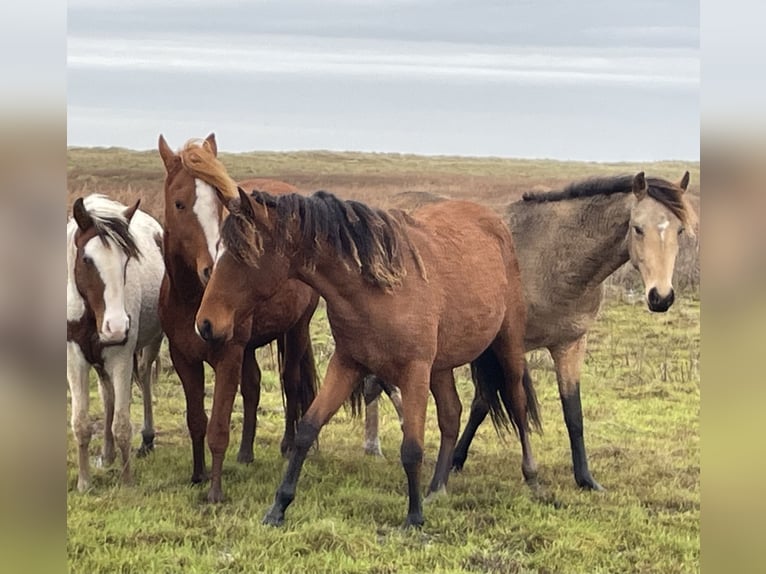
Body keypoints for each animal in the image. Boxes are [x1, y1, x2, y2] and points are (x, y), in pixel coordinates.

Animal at [66, 194, 164, 491]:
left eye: (126, 260)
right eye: (86, 259)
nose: (117, 326)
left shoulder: (121, 357)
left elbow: (122, 422)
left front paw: (127, 481)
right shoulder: (75, 358)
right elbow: (81, 422)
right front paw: (84, 482)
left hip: (151, 343)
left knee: (143, 375)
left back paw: (147, 439)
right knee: (107, 394)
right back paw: (107, 454)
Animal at [157, 134, 320, 503]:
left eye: (219, 203)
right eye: (179, 204)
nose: (210, 269)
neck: (192, 299)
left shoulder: (228, 356)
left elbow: (217, 427)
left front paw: (215, 492)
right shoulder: (184, 358)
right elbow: (196, 420)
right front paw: (198, 475)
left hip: (297, 330)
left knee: (291, 381)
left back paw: (288, 444)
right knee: (254, 386)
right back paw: (245, 452)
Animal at [191, 156, 541, 528]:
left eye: (242, 255)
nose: (206, 324)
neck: (375, 289)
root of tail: (494, 223)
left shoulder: (414, 373)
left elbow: (411, 447)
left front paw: (414, 517)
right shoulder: (347, 364)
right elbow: (307, 430)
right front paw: (278, 507)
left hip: (507, 346)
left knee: (517, 403)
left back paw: (532, 478)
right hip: (441, 366)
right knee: (451, 414)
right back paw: (437, 487)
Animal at [449, 171, 698, 490]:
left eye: (679, 231)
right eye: (638, 228)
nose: (661, 297)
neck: (549, 259)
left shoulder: (570, 344)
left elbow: (573, 412)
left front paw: (586, 479)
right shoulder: (506, 348)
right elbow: (497, 402)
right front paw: (461, 461)